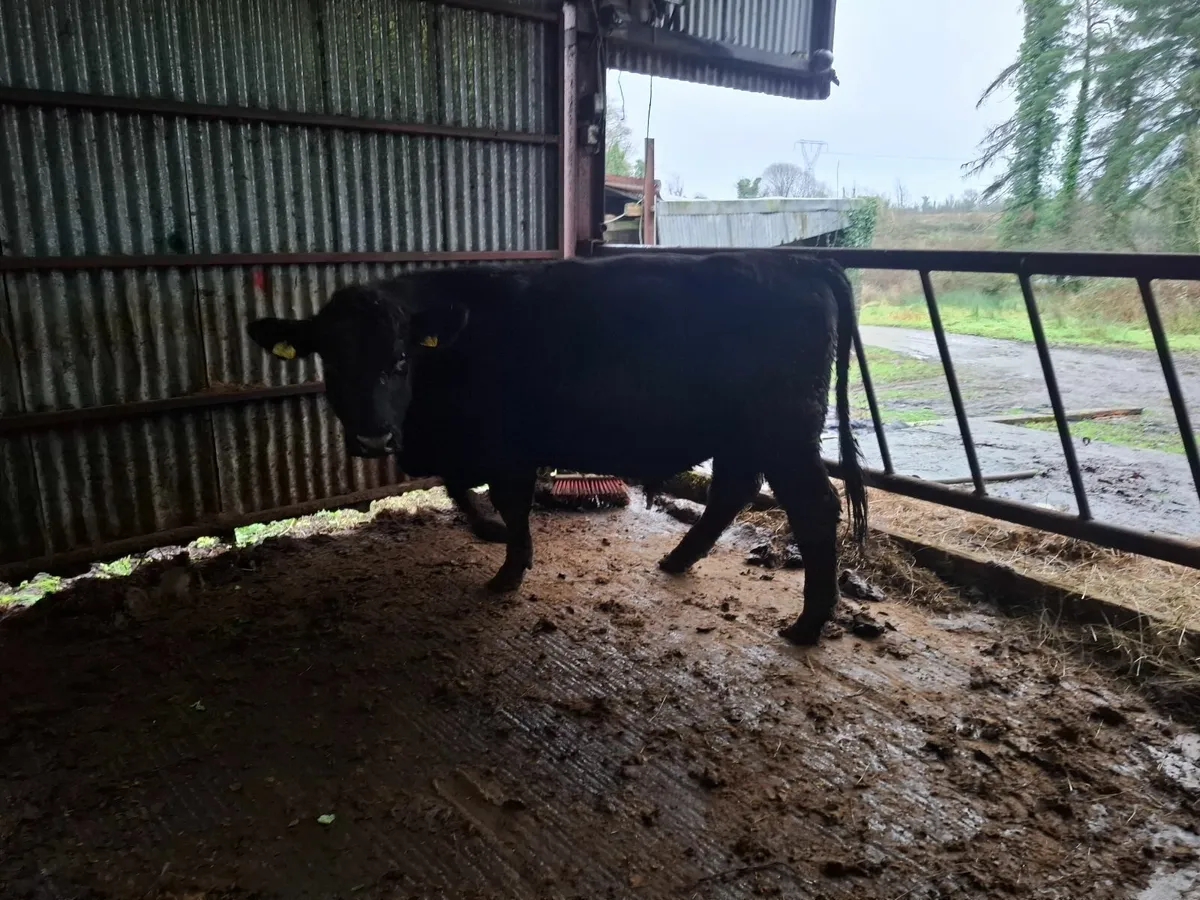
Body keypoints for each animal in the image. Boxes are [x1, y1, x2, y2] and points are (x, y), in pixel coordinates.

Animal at [246, 250, 867, 646]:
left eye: (400, 358)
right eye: (331, 362)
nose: (374, 435)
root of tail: (800, 263)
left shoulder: (504, 445)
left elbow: (506, 500)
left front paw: (507, 568)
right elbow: (461, 490)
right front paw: (492, 535)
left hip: (784, 432)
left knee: (814, 508)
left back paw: (808, 625)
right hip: (744, 433)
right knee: (733, 490)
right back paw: (677, 559)